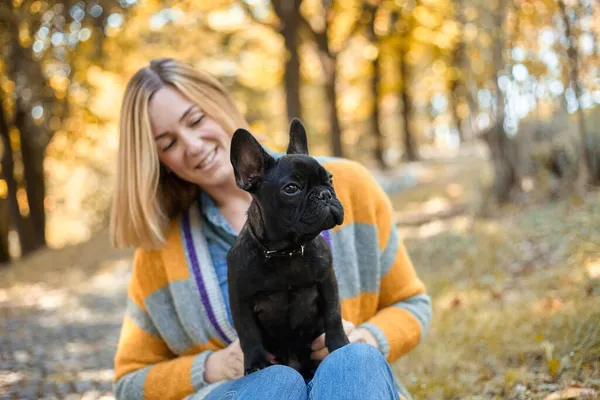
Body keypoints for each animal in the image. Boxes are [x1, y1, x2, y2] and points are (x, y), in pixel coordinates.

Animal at [229, 118, 352, 378]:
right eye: (291, 189)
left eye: (330, 179)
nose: (325, 194)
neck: (287, 251)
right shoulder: (240, 299)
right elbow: (248, 334)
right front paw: (256, 363)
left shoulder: (327, 283)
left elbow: (333, 316)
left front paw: (339, 345)